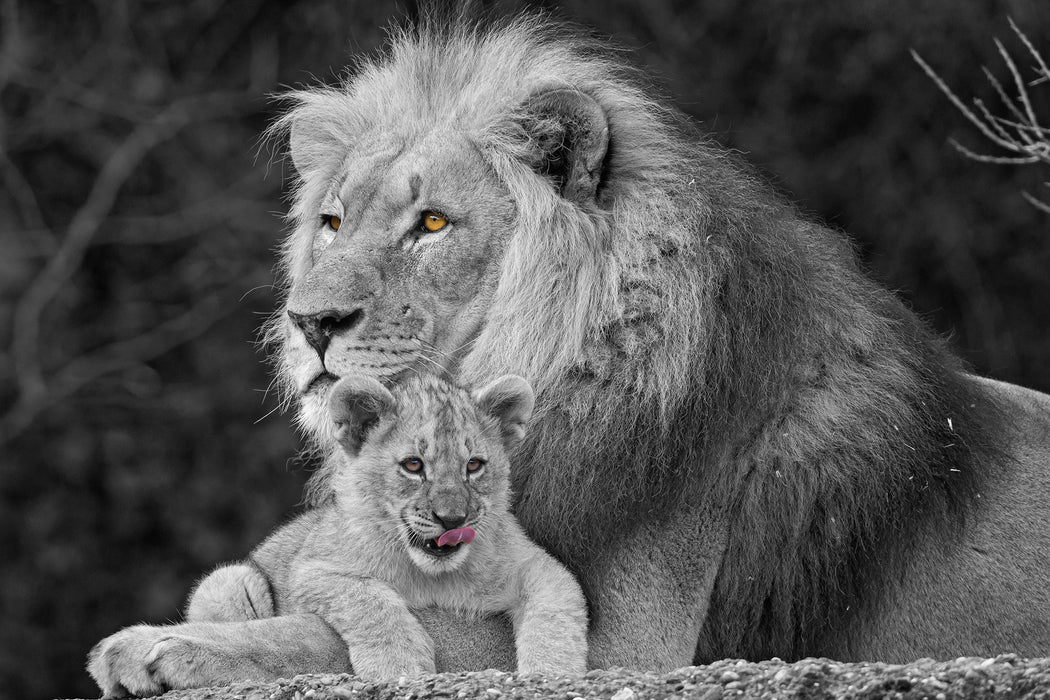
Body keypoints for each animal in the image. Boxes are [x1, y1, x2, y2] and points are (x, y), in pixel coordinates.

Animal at [96, 9, 1050, 688]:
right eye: (332, 222)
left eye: (432, 224)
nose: (311, 322)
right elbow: (271, 580)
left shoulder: (618, 636)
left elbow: (331, 629)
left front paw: (160, 645)